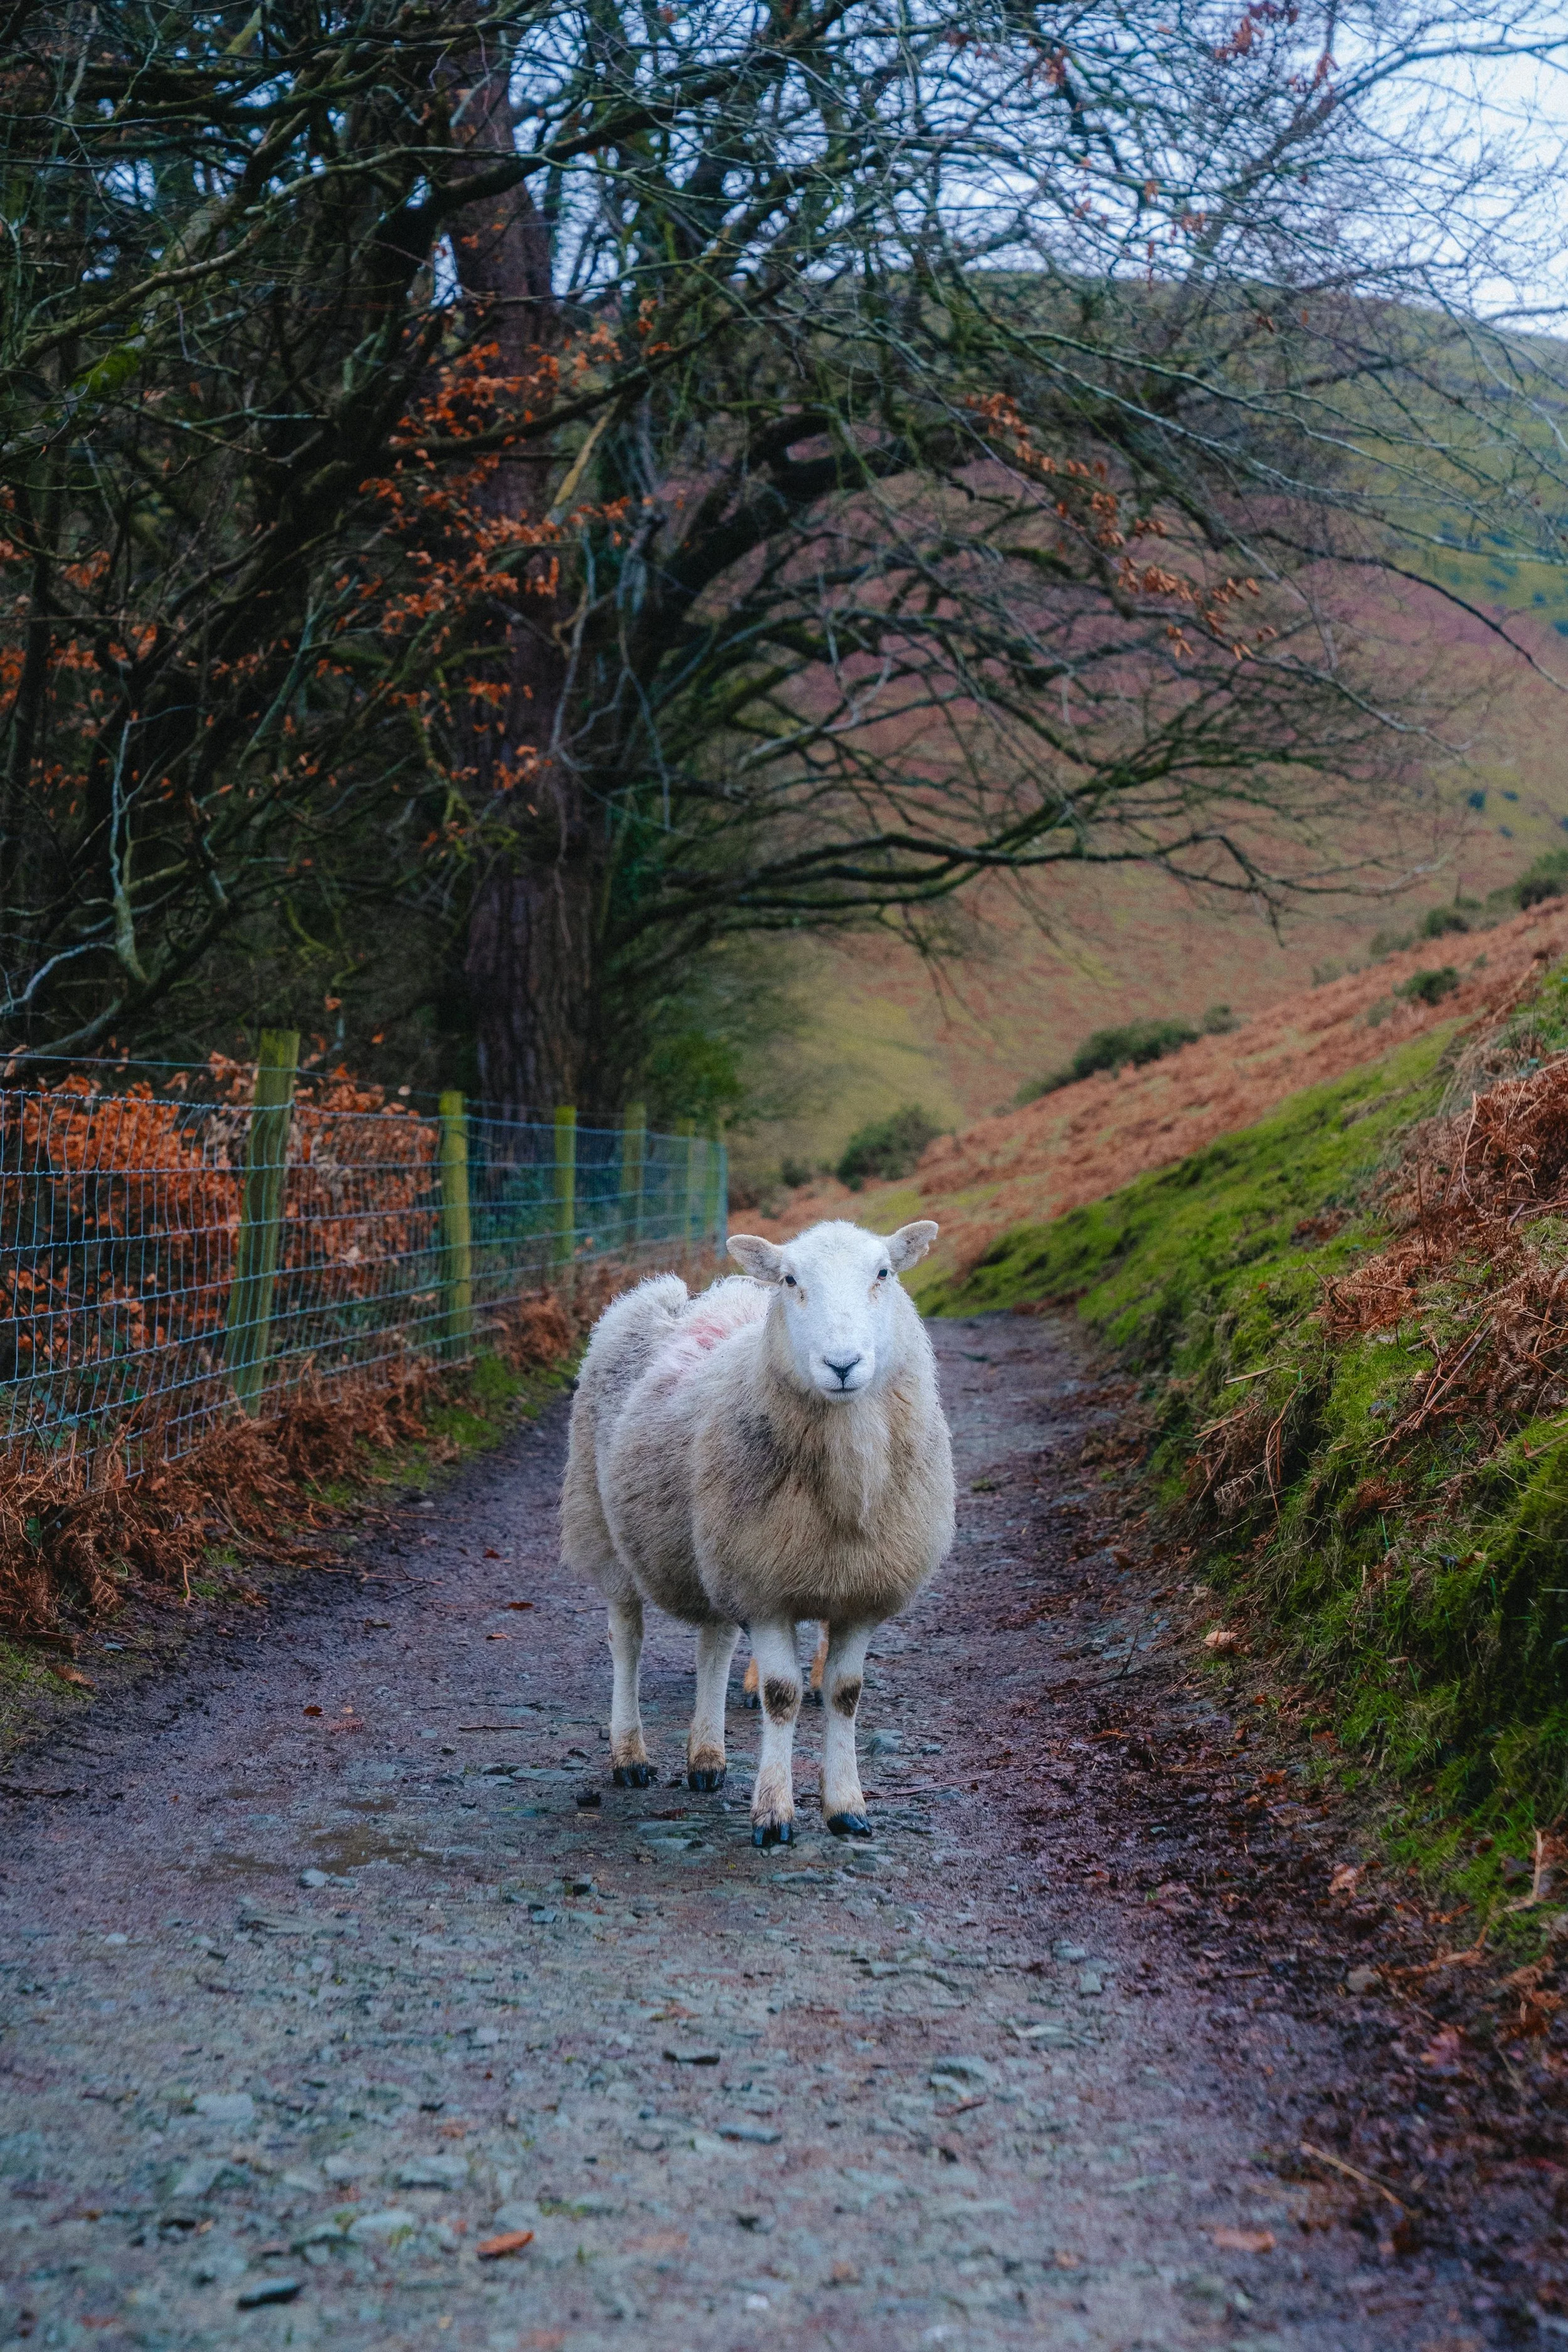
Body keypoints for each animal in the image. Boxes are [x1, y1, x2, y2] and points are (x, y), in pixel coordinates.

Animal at [560, 1218, 955, 1845]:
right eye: (790, 1280)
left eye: (884, 1273)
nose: (842, 1364)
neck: (846, 1483)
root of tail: (676, 1297)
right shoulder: (766, 1590)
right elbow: (783, 1696)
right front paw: (773, 1813)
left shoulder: (856, 1593)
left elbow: (845, 1695)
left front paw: (847, 1807)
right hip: (604, 1528)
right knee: (627, 1640)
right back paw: (631, 1756)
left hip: (716, 1549)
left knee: (714, 1645)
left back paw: (706, 1758)